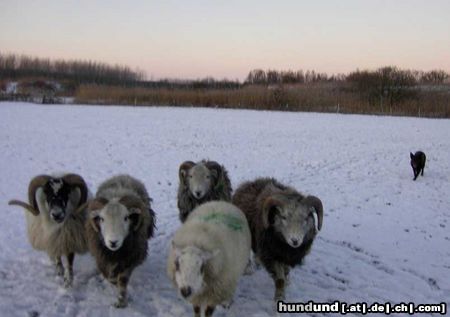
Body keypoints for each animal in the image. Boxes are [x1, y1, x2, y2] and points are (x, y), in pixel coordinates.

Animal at [84, 174, 156, 308]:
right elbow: (109, 277)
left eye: (126, 217)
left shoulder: (131, 257)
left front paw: (122, 301)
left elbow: (122, 279)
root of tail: (123, 175)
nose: (113, 242)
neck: (115, 253)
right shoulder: (101, 256)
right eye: (101, 218)